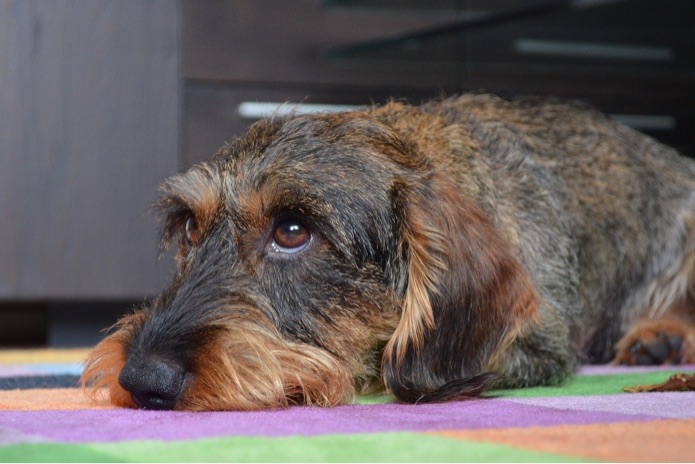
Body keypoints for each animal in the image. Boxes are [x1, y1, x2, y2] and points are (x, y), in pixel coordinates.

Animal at [83, 93, 695, 410]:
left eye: (292, 230)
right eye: (189, 227)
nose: (141, 379)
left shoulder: (539, 350)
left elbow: (388, 371)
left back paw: (662, 337)